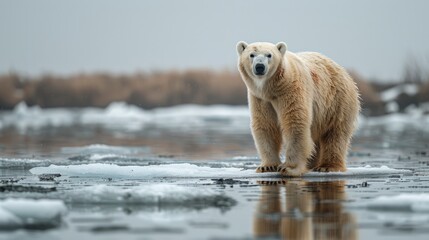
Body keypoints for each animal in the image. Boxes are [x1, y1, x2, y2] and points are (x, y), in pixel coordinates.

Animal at [236, 41, 360, 176]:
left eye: (269, 55)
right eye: (251, 55)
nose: (259, 66)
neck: (272, 89)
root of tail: (343, 71)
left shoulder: (291, 89)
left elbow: (295, 123)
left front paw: (289, 168)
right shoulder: (260, 99)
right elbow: (266, 125)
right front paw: (268, 166)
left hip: (337, 101)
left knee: (336, 134)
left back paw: (328, 166)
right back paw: (312, 164)